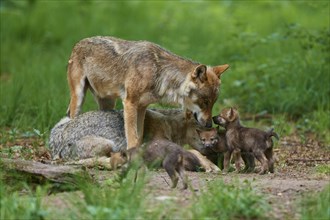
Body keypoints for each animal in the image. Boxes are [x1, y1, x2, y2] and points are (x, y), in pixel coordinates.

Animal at [65, 36, 228, 150]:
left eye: (213, 103)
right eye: (205, 101)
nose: (209, 124)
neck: (158, 72)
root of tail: (78, 43)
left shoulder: (142, 107)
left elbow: (139, 136)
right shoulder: (130, 103)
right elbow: (132, 136)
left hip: (108, 103)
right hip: (78, 98)